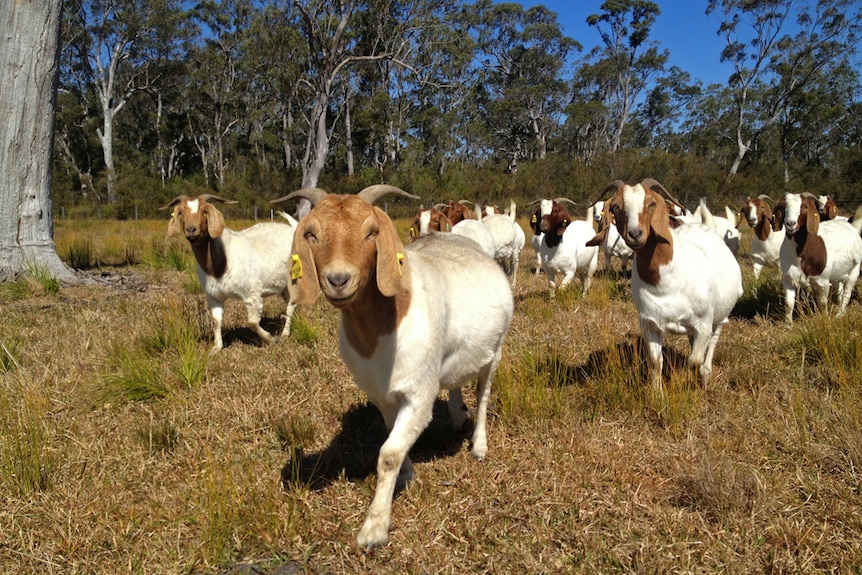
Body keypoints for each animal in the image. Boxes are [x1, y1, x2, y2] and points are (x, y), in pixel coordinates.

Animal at [161, 196, 296, 354]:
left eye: (204, 211)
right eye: (181, 212)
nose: (191, 230)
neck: (221, 262)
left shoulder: (252, 292)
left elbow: (252, 322)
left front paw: (270, 339)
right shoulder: (213, 296)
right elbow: (216, 321)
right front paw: (216, 348)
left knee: (291, 306)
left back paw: (284, 334)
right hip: (283, 287)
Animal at [592, 180, 744, 394]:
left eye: (652, 203)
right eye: (615, 207)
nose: (635, 234)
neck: (667, 282)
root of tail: (705, 227)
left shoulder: (703, 323)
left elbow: (694, 360)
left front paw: (695, 380)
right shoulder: (649, 324)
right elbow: (656, 361)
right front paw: (657, 394)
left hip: (720, 316)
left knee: (712, 341)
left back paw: (706, 373)